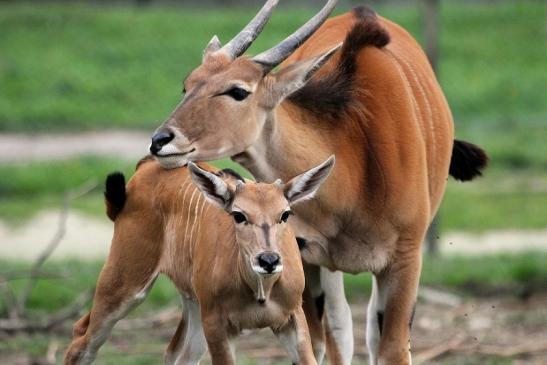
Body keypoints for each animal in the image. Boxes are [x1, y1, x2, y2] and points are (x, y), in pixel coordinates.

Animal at [149, 1, 488, 362]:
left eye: (238, 91)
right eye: (188, 85)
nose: (160, 141)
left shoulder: (405, 260)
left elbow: (392, 349)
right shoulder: (302, 259)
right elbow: (318, 342)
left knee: (369, 329)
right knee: (340, 328)